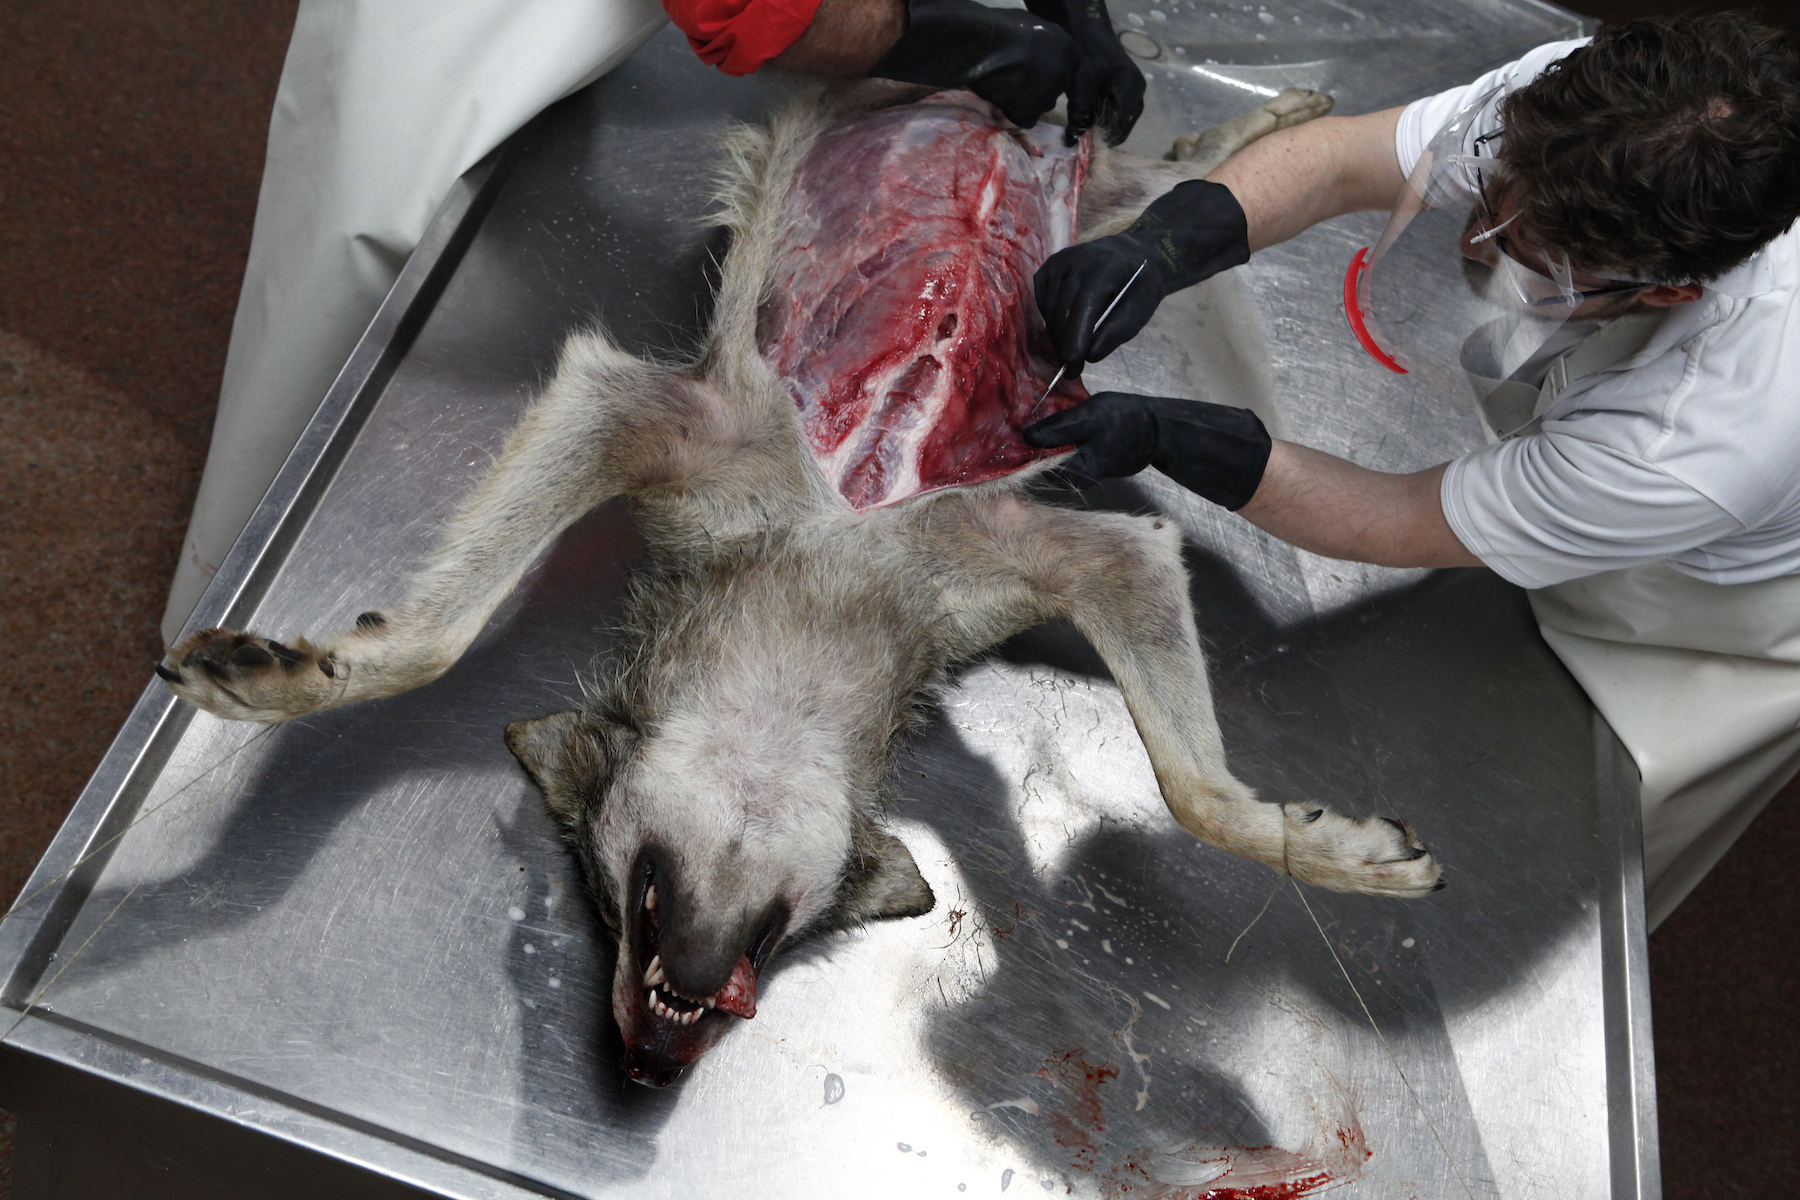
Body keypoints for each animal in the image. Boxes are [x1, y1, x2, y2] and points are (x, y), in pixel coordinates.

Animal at [158, 85, 1441, 1087]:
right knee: (1169, 177)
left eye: (788, 944)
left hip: (1103, 199)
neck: (830, 577)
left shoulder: (1089, 558)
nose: (649, 1061)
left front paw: (1332, 852)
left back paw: (1273, 114)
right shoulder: (641, 417)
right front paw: (296, 674)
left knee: (1178, 183)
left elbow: (1197, 793)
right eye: (600, 893)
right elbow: (433, 641)